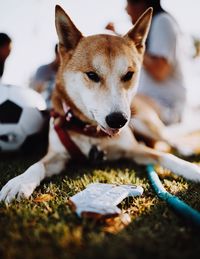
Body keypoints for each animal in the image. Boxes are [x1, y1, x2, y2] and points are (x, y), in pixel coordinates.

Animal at [0, 4, 200, 203]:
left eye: (128, 75)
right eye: (92, 75)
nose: (118, 120)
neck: (92, 133)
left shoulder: (135, 149)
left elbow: (166, 157)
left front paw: (193, 170)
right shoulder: (56, 155)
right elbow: (37, 165)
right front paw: (20, 182)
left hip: (145, 124)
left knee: (170, 140)